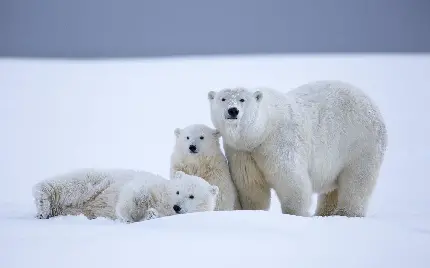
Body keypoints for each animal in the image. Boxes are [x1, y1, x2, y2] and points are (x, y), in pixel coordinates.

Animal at [31, 168, 218, 222]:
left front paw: (150, 214)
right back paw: (42, 201)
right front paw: (130, 212)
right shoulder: (152, 185)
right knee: (72, 184)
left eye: (191, 196)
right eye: (178, 191)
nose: (177, 206)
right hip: (98, 182)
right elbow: (135, 192)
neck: (165, 200)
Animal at [207, 80, 386, 217]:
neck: (261, 132)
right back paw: (324, 213)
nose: (233, 110)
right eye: (223, 99)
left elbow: (291, 180)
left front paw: (295, 214)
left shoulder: (279, 141)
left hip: (360, 142)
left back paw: (346, 212)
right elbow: (251, 185)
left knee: (357, 179)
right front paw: (253, 211)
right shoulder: (242, 152)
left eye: (242, 99)